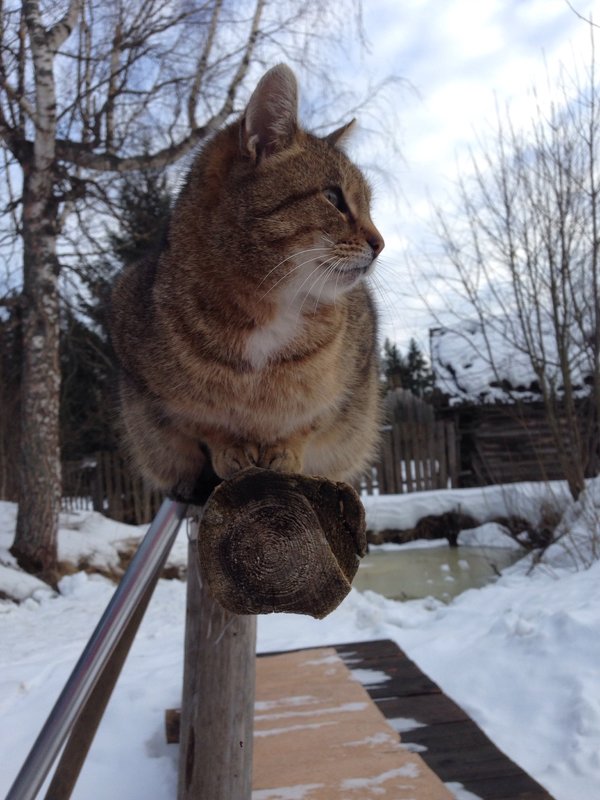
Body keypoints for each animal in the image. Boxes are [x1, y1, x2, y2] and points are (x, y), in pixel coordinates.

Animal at [110, 62, 384, 504]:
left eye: (369, 205)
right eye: (333, 198)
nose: (380, 242)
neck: (271, 305)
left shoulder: (349, 387)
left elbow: (310, 420)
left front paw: (285, 449)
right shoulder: (153, 391)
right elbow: (204, 424)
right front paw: (230, 448)